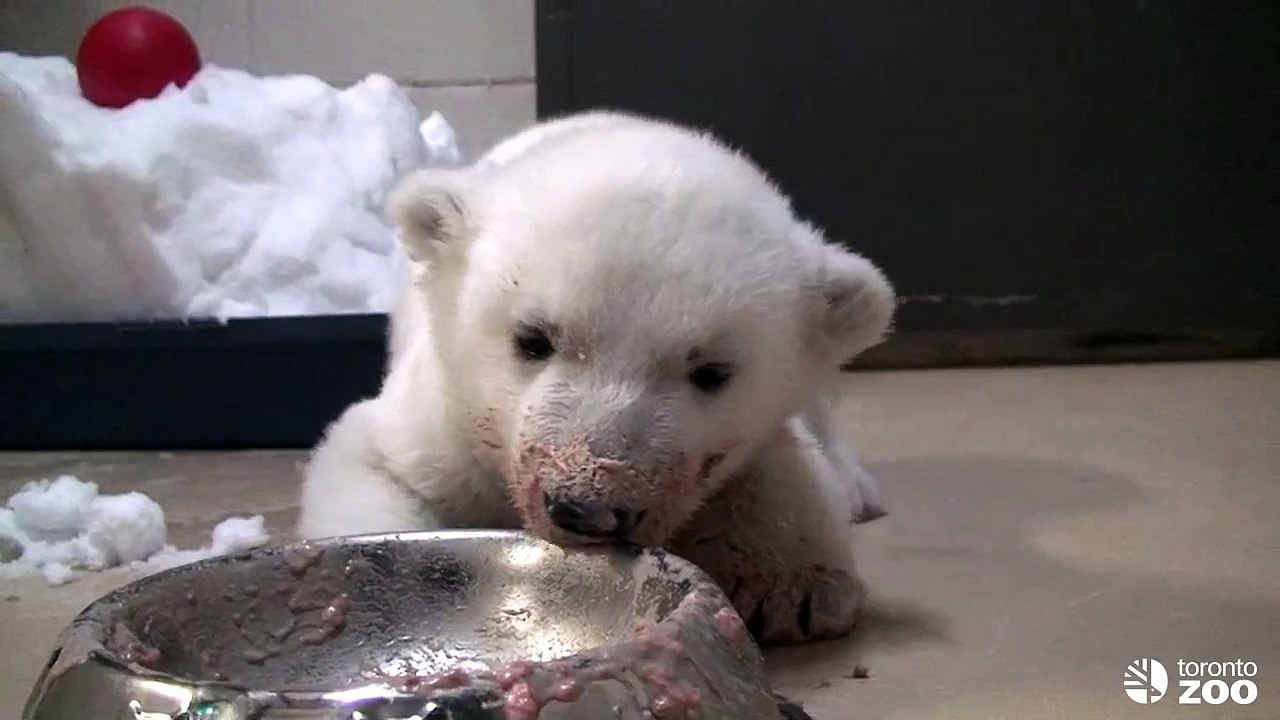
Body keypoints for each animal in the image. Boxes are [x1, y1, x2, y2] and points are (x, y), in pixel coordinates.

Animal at [296, 110, 895, 645]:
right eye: (533, 339)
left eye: (711, 371)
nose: (589, 509)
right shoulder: (441, 421)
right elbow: (374, 464)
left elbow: (777, 466)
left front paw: (796, 591)